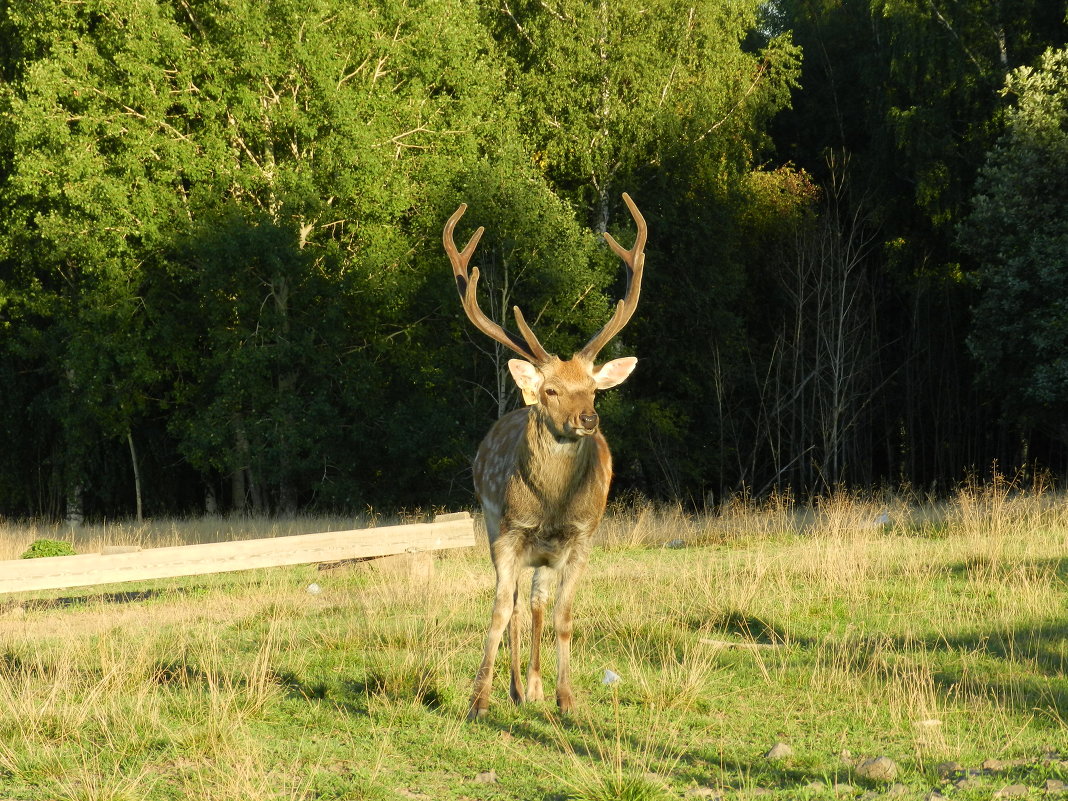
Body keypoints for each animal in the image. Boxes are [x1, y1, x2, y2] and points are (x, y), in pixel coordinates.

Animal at [444, 193, 645, 721]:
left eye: (593, 387)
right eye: (551, 389)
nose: (588, 418)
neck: (553, 505)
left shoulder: (583, 537)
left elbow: (563, 615)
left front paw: (566, 699)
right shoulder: (509, 531)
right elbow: (498, 611)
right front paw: (478, 701)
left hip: (546, 552)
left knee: (535, 600)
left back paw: (532, 688)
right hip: (494, 524)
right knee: (516, 602)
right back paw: (515, 688)